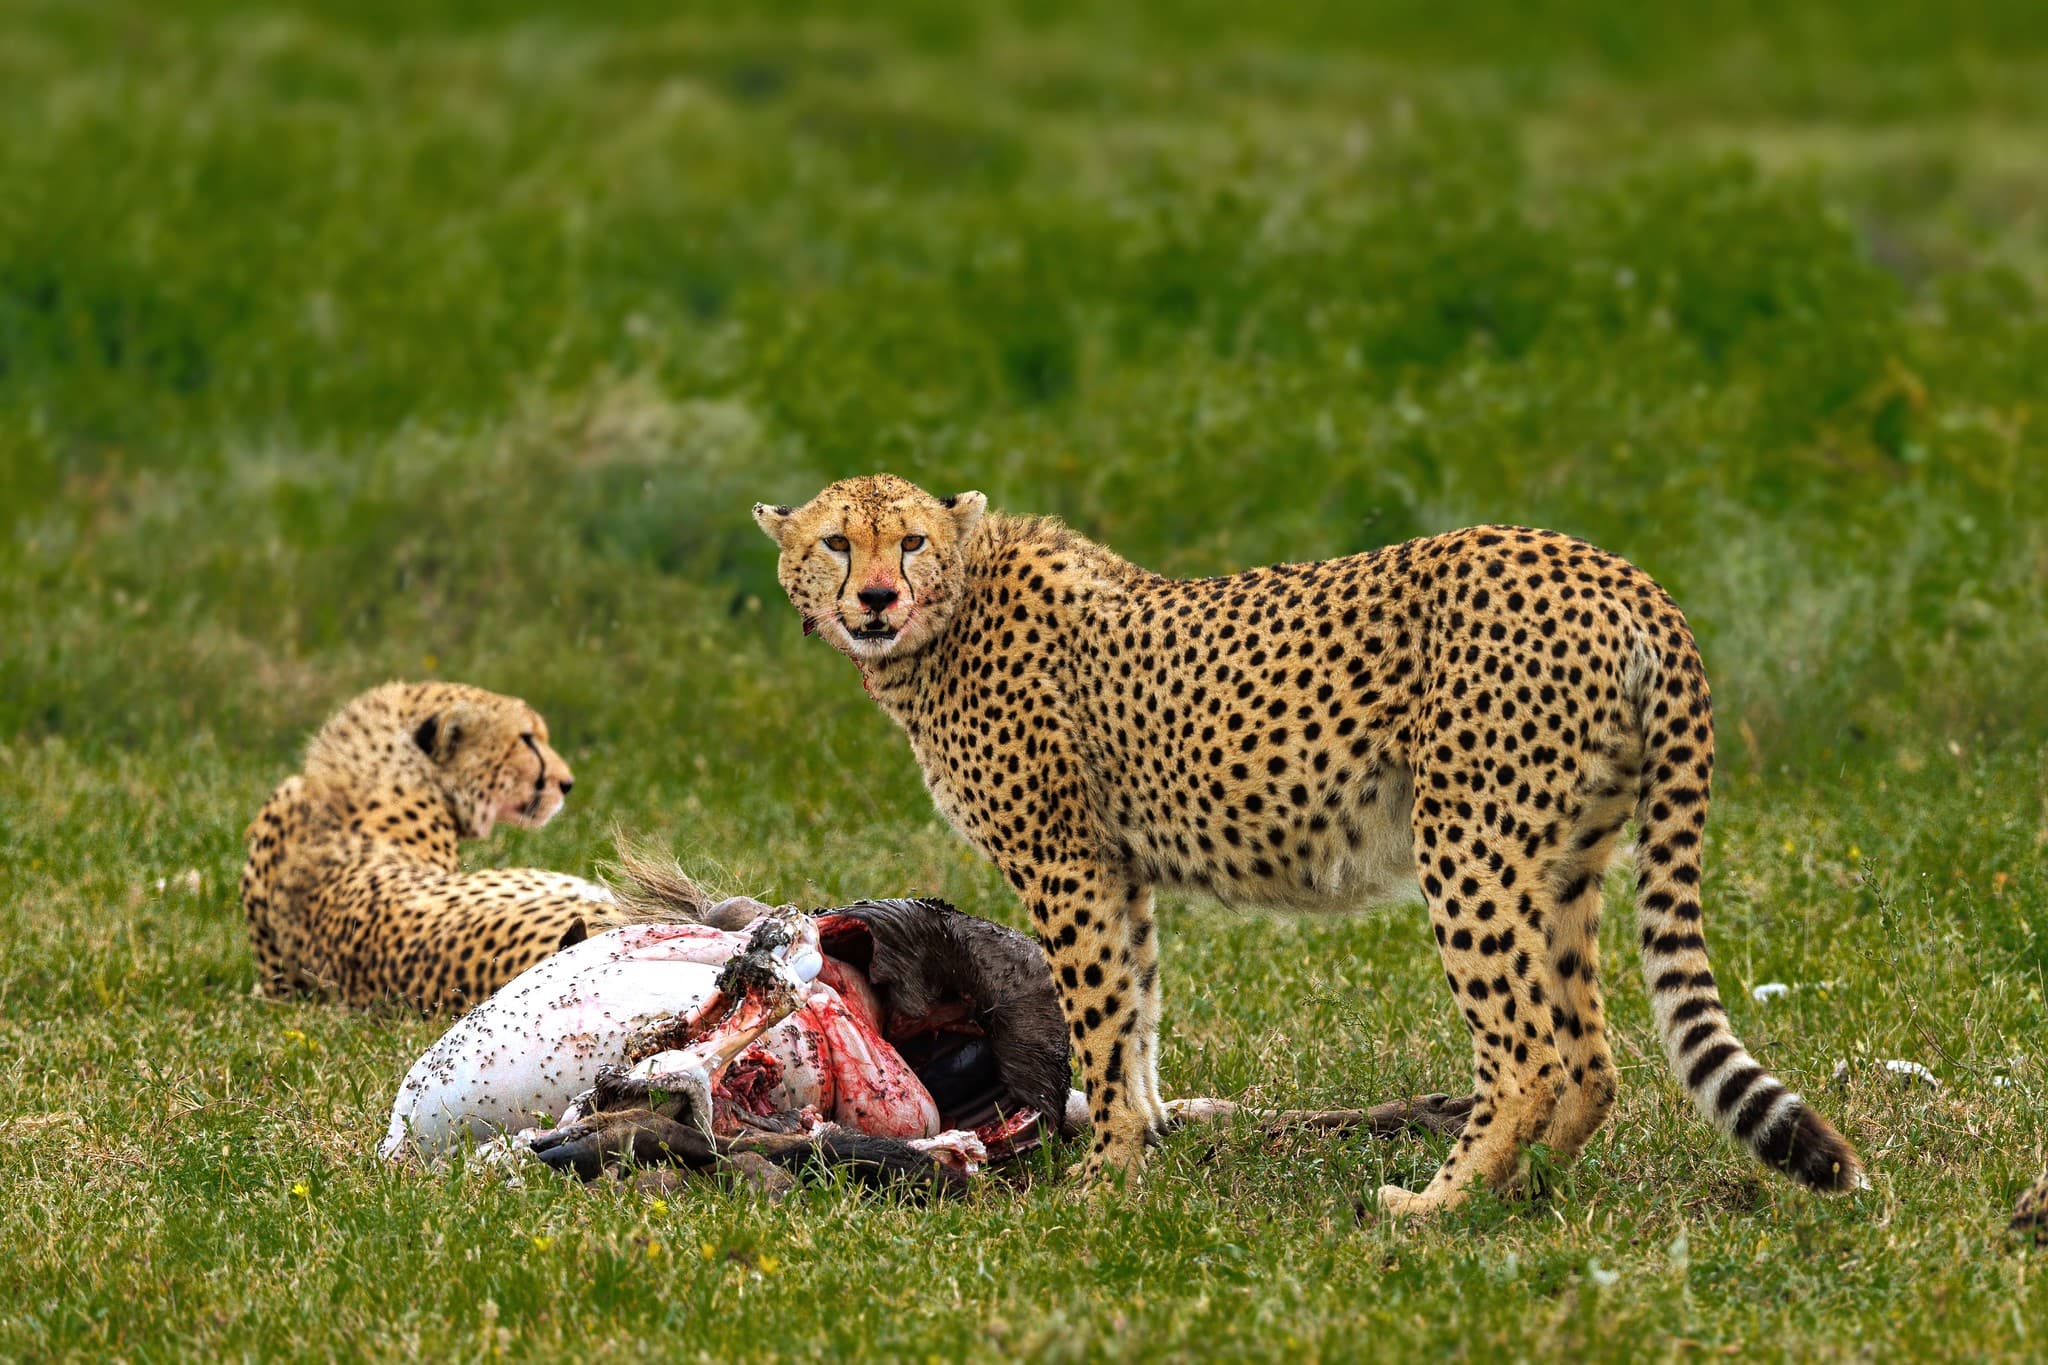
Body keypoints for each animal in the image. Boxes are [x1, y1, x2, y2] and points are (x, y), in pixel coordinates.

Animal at [753, 473, 1864, 1215]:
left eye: (909, 543)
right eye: (837, 544)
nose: (876, 600)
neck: (948, 620)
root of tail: (1612, 568)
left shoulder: (1065, 864)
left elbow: (1102, 1025)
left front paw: (1104, 1177)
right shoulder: (1118, 871)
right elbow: (1136, 1014)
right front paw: (1144, 1145)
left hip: (1466, 845)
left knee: (1528, 1055)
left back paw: (1433, 1208)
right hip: (1565, 860)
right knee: (1591, 1055)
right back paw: (1523, 1190)